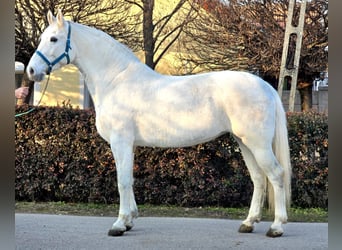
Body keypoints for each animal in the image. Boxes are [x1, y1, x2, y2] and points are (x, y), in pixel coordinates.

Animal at [26, 10, 292, 238]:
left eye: (53, 39)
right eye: (41, 37)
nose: (31, 70)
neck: (116, 80)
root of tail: (265, 86)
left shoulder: (121, 142)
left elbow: (122, 181)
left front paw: (119, 224)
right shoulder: (127, 145)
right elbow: (129, 179)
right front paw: (130, 220)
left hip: (258, 144)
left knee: (276, 175)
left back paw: (277, 227)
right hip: (244, 142)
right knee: (259, 178)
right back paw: (249, 223)